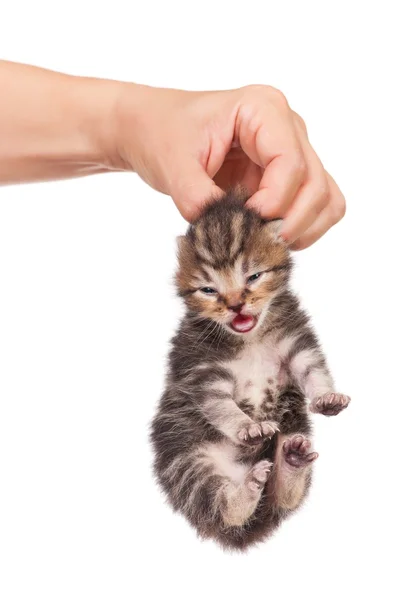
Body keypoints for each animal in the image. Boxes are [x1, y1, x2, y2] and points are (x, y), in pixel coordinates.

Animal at [151, 190, 350, 552]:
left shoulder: (297, 344)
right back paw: (243, 492)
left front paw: (327, 395)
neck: (251, 338)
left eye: (254, 276)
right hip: (186, 462)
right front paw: (247, 426)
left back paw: (291, 462)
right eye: (208, 290)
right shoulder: (203, 370)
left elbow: (313, 371)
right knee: (224, 507)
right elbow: (221, 406)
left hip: (292, 426)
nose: (235, 305)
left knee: (282, 498)